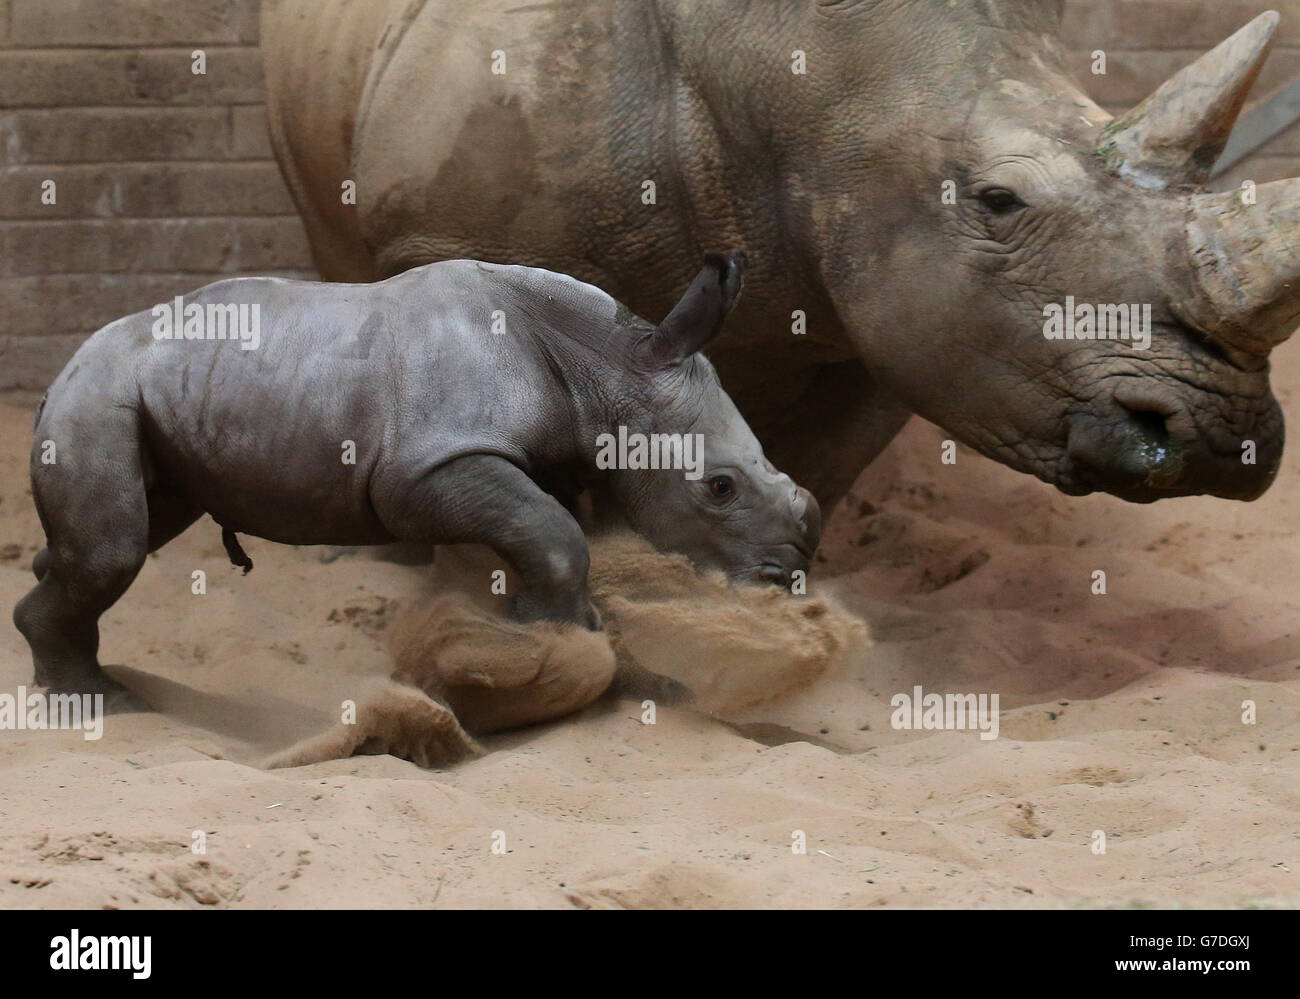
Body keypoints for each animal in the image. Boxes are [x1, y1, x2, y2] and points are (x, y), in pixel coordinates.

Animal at [12, 253, 821, 712]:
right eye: (719, 488)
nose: (789, 572)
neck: (608, 364)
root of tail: (68, 361)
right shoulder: (426, 466)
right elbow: (557, 537)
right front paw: (562, 645)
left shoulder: (524, 462)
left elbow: (545, 538)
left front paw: (560, 647)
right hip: (100, 391)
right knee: (114, 551)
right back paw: (101, 703)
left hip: (158, 395)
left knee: (137, 530)